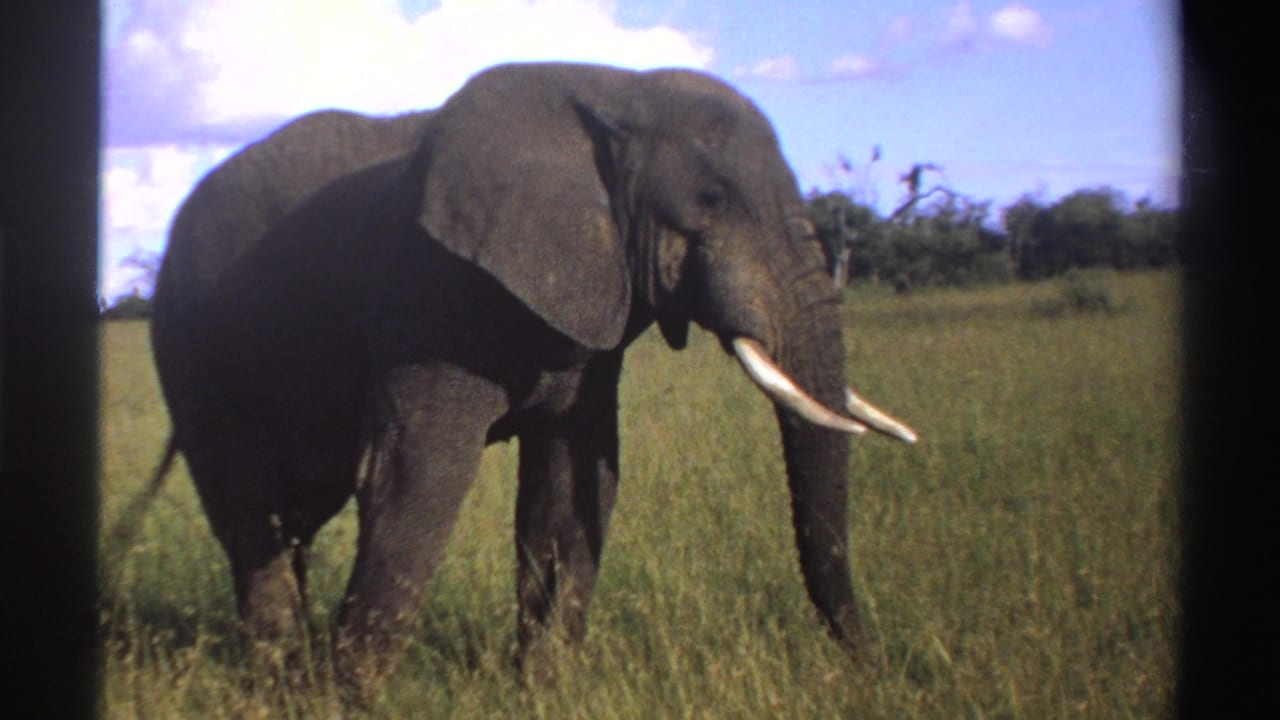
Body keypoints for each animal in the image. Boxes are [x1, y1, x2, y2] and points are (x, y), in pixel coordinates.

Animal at [150, 61, 916, 702]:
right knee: (250, 508)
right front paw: (346, 704)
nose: (874, 666)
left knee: (295, 514)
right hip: (189, 344)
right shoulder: (427, 295)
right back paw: (277, 679)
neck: (617, 91)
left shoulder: (590, 308)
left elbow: (573, 481)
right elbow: (416, 475)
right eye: (711, 198)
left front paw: (546, 692)